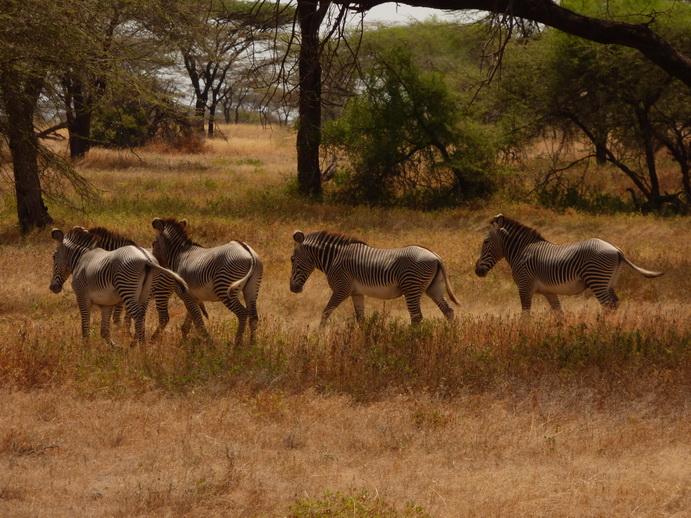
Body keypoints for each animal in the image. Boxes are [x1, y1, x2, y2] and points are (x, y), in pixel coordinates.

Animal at [49, 225, 191, 348]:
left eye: (54, 257)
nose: (52, 287)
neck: (82, 258)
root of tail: (146, 259)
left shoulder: (82, 298)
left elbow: (86, 327)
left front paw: (86, 350)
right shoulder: (106, 304)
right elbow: (105, 330)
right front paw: (116, 348)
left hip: (139, 290)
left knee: (146, 317)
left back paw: (144, 347)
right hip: (145, 294)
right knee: (143, 318)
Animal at [151, 217, 262, 348]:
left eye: (152, 244)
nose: (153, 266)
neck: (178, 255)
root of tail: (248, 251)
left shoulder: (186, 295)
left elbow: (198, 322)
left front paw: (209, 345)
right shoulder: (194, 297)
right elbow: (189, 323)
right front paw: (185, 344)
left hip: (224, 288)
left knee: (243, 313)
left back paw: (237, 346)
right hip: (252, 288)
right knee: (253, 316)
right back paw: (252, 346)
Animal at [290, 231, 462, 324]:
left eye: (292, 260)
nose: (293, 289)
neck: (334, 258)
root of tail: (435, 256)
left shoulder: (341, 289)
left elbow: (325, 312)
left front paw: (320, 336)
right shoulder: (356, 293)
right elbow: (361, 318)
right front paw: (364, 338)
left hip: (411, 286)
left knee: (417, 317)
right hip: (434, 287)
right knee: (448, 311)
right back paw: (450, 335)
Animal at [474, 215, 664, 312]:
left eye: (485, 242)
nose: (477, 271)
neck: (522, 251)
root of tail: (617, 250)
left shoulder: (524, 286)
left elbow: (525, 316)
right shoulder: (549, 291)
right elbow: (559, 314)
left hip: (597, 279)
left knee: (608, 306)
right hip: (610, 282)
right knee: (616, 304)